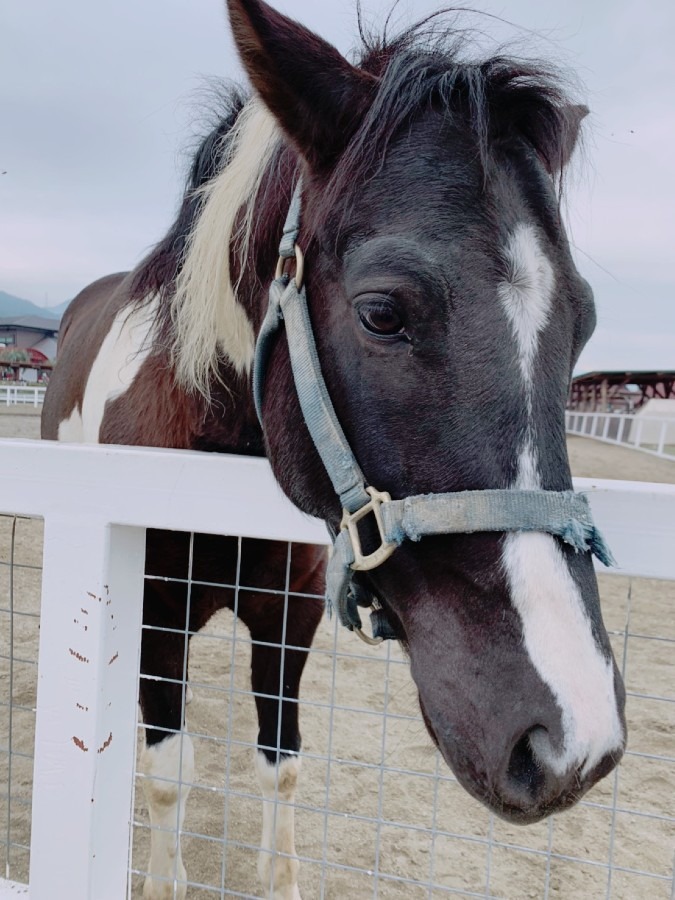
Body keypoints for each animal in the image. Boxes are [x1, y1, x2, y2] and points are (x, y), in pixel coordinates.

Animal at [42, 0, 628, 896]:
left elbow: (280, 762)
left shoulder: (289, 617)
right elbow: (168, 773)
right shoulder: (153, 618)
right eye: (382, 312)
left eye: (583, 321)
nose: (572, 740)